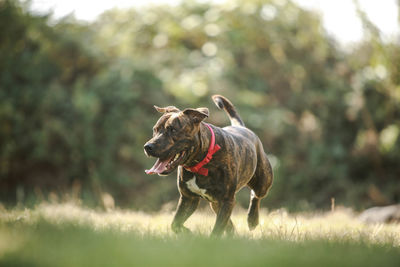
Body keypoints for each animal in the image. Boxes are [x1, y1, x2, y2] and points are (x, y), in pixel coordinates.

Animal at [145, 94, 274, 237]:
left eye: (173, 130)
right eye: (155, 130)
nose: (148, 147)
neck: (200, 162)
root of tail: (242, 127)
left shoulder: (226, 200)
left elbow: (217, 230)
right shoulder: (188, 199)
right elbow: (175, 224)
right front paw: (188, 232)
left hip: (262, 182)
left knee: (256, 195)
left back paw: (252, 219)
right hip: (216, 203)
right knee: (228, 219)